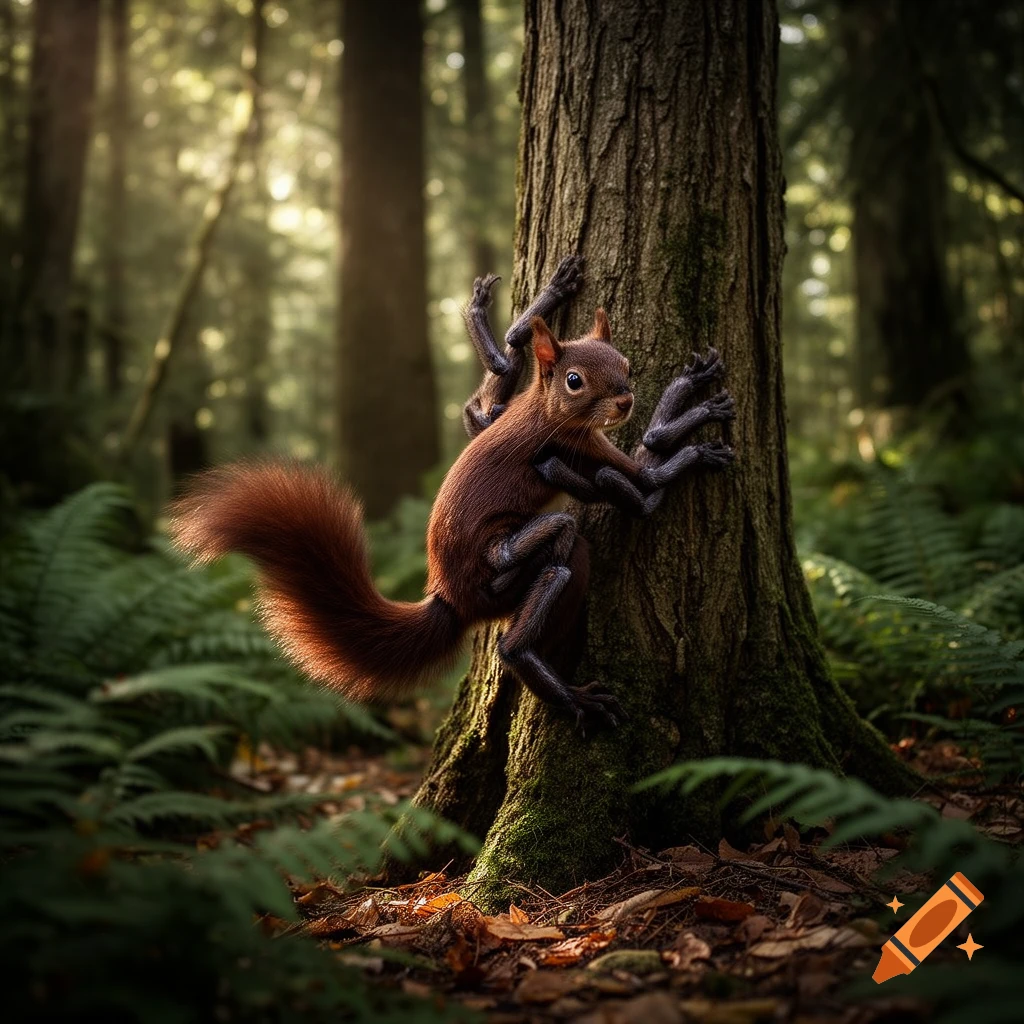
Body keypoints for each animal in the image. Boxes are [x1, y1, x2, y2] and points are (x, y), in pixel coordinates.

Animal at [169, 256, 735, 729]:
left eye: (625, 364)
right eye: (574, 380)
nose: (624, 400)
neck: (543, 408)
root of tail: (448, 595)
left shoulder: (501, 417)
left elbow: (490, 393)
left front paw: (526, 306)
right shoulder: (585, 446)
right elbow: (648, 460)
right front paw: (696, 420)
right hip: (505, 571)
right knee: (553, 563)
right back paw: (566, 691)